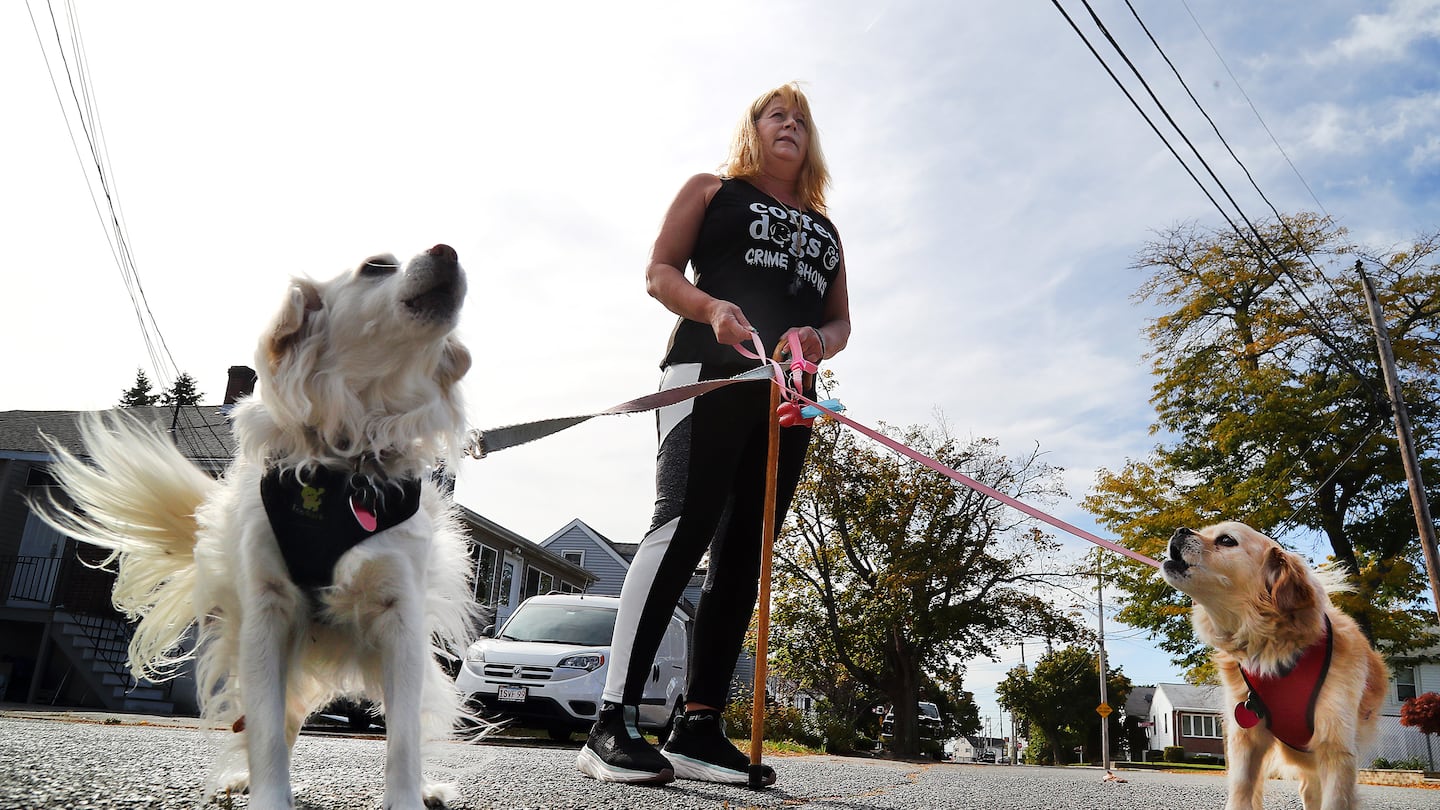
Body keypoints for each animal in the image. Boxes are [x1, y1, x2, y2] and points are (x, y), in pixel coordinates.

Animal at [36, 242, 478, 801]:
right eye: (376, 267)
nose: (449, 250)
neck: (348, 456)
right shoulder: (267, 612)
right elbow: (267, 732)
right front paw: (269, 796)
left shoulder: (400, 617)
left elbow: (402, 742)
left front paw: (406, 800)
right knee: (276, 720)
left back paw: (427, 788)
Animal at [1163, 518, 1388, 807]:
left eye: (1226, 540)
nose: (1179, 530)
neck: (1272, 648)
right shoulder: (1245, 743)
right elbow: (1240, 793)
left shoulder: (1335, 748)